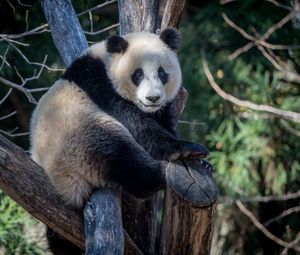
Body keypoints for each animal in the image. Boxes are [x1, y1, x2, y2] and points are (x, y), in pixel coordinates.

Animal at [30, 28, 209, 210]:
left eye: (161, 73)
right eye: (138, 74)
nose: (152, 98)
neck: (107, 62)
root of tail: (65, 186)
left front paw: (204, 163)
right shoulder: (100, 84)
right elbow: (138, 125)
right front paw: (187, 149)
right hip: (81, 138)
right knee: (119, 154)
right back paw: (159, 173)